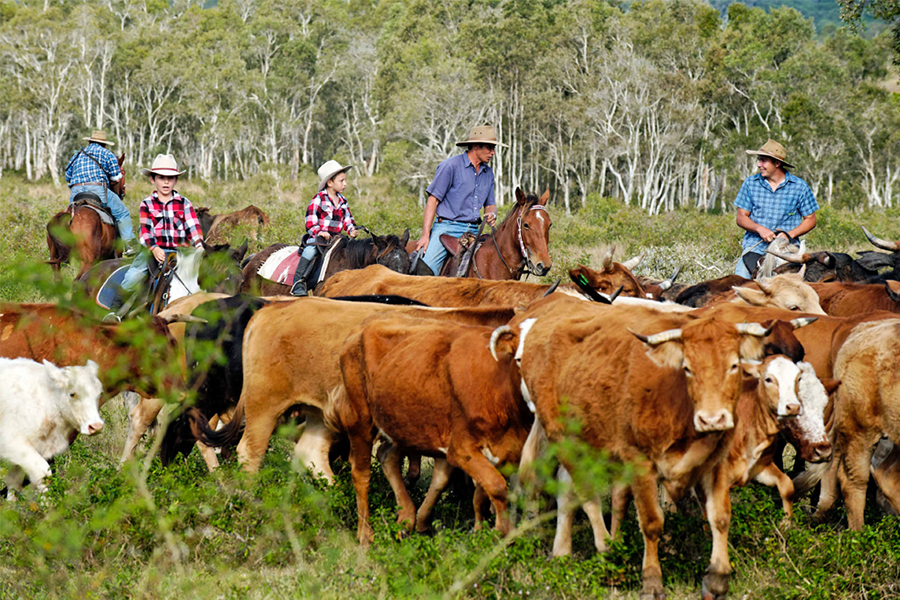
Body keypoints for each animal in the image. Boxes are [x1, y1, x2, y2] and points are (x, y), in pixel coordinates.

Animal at [0, 356, 105, 496]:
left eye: (100, 393)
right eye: (72, 394)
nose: (96, 426)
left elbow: (14, 481)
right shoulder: (12, 442)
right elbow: (43, 473)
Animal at [506, 296, 772, 600]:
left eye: (734, 365)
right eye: (687, 368)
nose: (713, 419)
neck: (677, 401)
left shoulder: (714, 462)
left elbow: (720, 517)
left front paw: (717, 578)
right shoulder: (640, 463)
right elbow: (651, 522)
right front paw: (652, 582)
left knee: (573, 491)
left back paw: (564, 551)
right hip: (562, 439)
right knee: (587, 497)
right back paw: (608, 553)